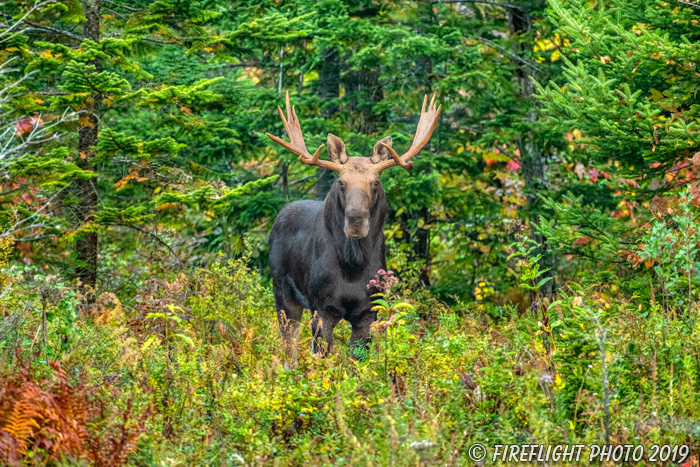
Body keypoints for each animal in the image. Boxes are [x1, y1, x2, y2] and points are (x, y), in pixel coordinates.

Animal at [266, 92, 440, 370]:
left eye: (375, 182)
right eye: (341, 182)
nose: (356, 220)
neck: (352, 266)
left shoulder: (368, 312)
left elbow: (357, 363)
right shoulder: (321, 308)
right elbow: (322, 362)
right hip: (282, 293)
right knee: (289, 350)